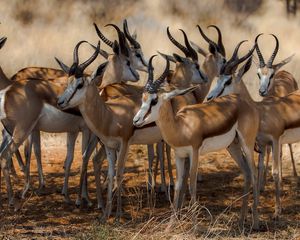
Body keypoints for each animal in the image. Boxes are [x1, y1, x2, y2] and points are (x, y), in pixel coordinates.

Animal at [134, 44, 260, 229]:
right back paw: (241, 221)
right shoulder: (179, 155)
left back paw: (256, 223)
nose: (136, 120)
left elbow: (192, 184)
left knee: (254, 172)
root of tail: (243, 100)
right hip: (233, 147)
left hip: (247, 144)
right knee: (247, 173)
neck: (181, 126)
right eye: (143, 98)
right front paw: (171, 225)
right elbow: (178, 185)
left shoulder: (194, 153)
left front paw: (195, 226)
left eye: (154, 100)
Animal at [253, 33, 298, 189]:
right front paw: (262, 183)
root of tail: (284, 71)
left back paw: (294, 174)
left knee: (287, 146)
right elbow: (266, 152)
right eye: (259, 74)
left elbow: (278, 153)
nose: (261, 91)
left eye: (271, 74)